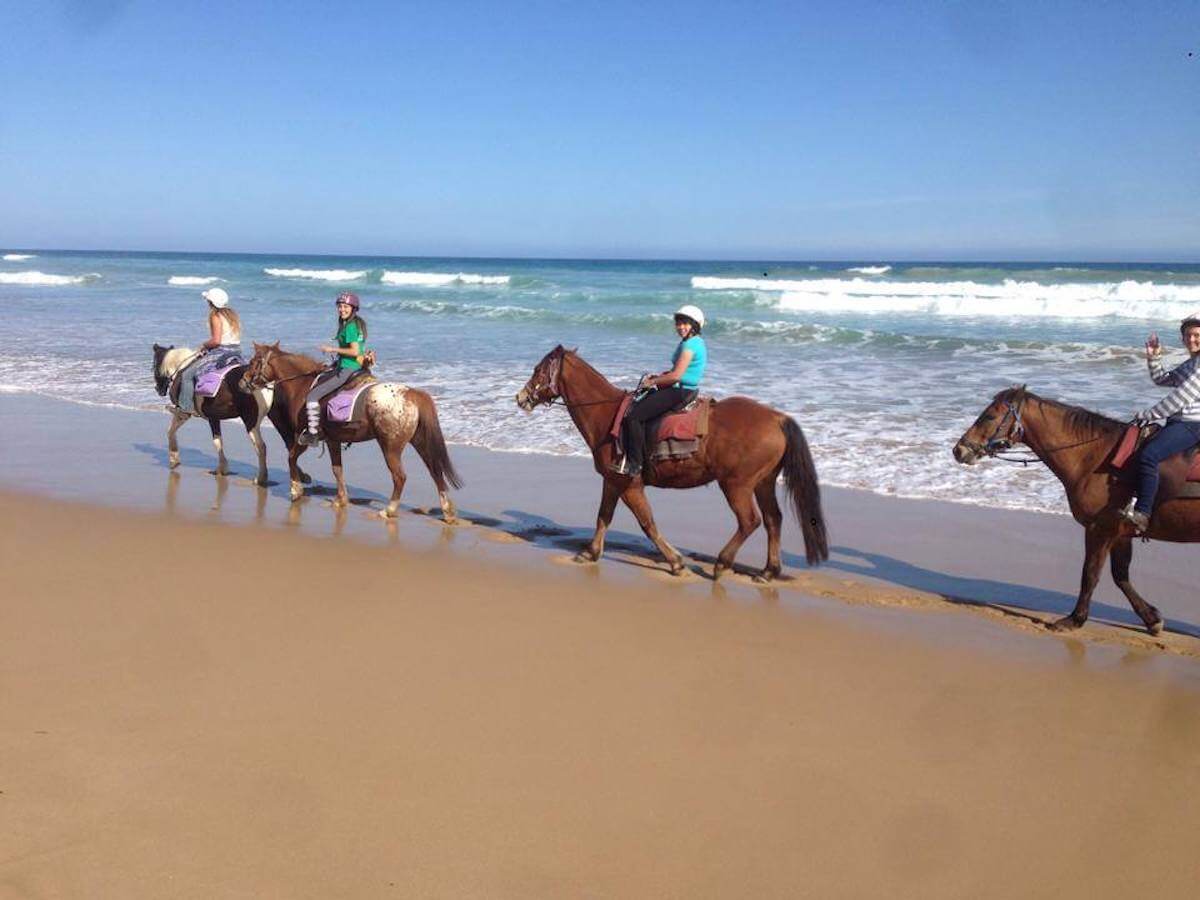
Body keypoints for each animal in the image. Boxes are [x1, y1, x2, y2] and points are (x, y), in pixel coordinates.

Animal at [238, 348, 458, 528]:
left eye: (254, 362)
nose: (242, 382)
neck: (304, 385)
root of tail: (413, 394)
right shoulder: (332, 440)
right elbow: (337, 469)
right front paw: (340, 499)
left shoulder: (304, 437)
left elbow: (291, 458)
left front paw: (295, 489)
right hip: (420, 442)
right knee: (436, 472)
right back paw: (447, 511)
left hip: (390, 447)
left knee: (400, 477)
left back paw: (389, 510)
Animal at [511, 345, 830, 578]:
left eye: (538, 370)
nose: (521, 397)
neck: (608, 415)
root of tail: (777, 418)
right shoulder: (613, 480)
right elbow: (603, 516)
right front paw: (590, 552)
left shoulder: (630, 484)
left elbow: (647, 523)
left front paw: (675, 562)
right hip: (762, 482)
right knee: (773, 520)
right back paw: (768, 571)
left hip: (736, 485)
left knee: (750, 521)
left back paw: (722, 563)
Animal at [955, 386, 1200, 633]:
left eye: (989, 416)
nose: (959, 450)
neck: (1097, 458)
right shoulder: (1119, 533)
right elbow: (1120, 575)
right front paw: (1151, 618)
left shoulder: (1099, 529)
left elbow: (1090, 574)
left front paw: (1075, 618)